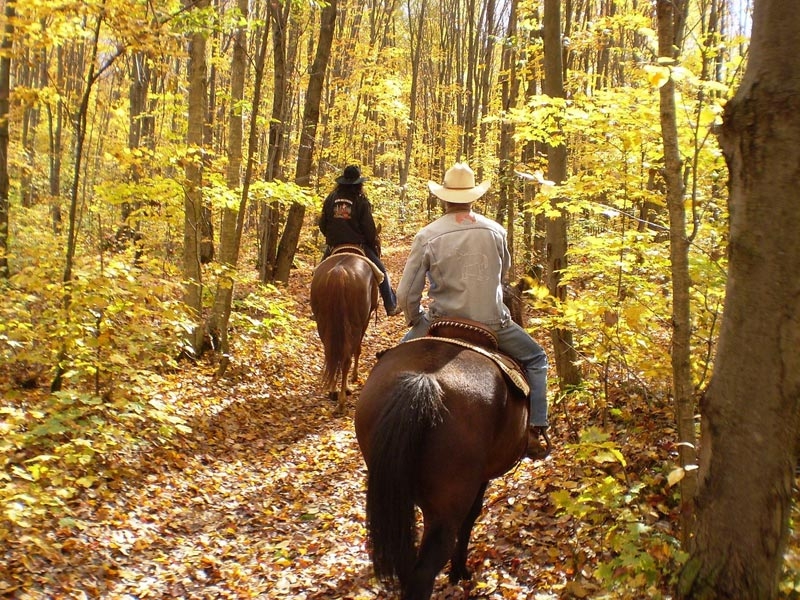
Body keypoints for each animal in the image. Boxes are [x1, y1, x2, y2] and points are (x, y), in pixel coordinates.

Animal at [310, 247, 378, 412]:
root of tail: (338, 272)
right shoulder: (365, 320)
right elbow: (357, 350)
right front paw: (355, 377)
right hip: (354, 325)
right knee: (346, 358)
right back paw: (342, 399)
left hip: (324, 324)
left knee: (332, 355)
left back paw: (333, 391)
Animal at [356, 284, 532, 600]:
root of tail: (423, 381)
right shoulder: (480, 480)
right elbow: (472, 517)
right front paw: (459, 571)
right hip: (446, 507)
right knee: (424, 570)